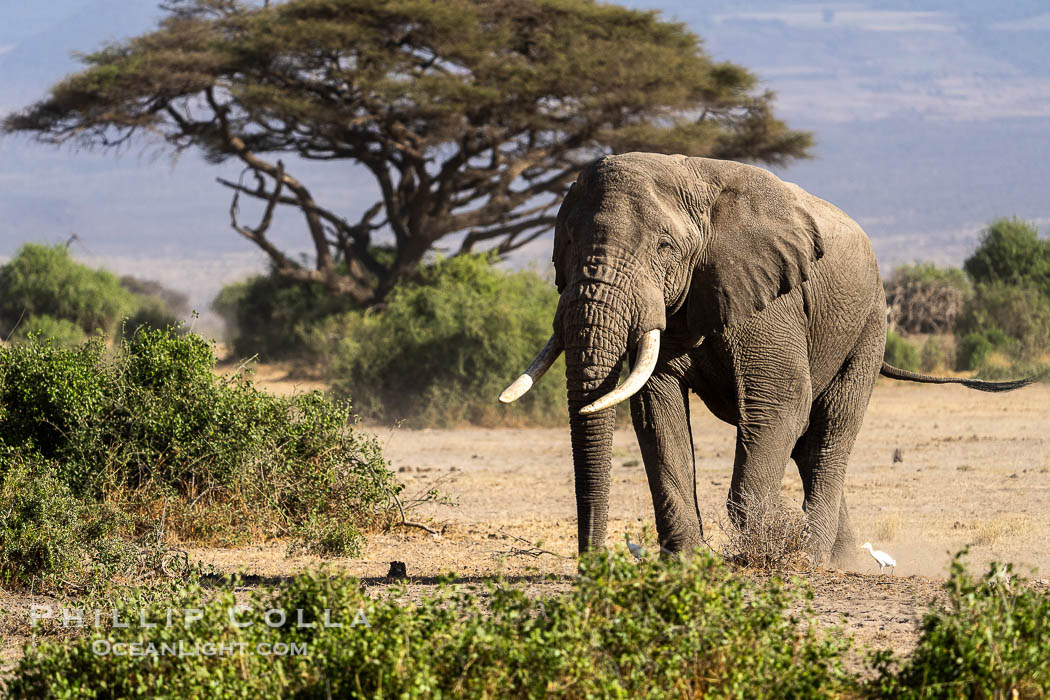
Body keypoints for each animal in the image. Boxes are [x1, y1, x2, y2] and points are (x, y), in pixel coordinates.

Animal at [500, 152, 1033, 567]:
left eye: (664, 248)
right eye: (564, 246)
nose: (590, 565)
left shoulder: (771, 299)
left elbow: (779, 405)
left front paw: (756, 550)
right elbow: (656, 411)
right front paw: (687, 564)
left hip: (869, 326)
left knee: (830, 429)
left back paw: (812, 558)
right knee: (807, 445)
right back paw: (844, 559)